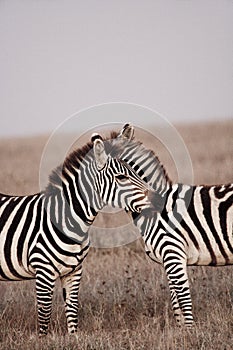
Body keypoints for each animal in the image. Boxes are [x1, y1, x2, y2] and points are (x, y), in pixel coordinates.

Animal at [0, 131, 155, 336]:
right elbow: (44, 314)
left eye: (136, 172)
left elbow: (72, 310)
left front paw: (74, 338)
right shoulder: (43, 271)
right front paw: (42, 339)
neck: (68, 219)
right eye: (121, 177)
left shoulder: (74, 270)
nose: (157, 199)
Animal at [111, 123, 233, 328]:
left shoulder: (173, 253)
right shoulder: (169, 260)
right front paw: (181, 330)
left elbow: (183, 298)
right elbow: (176, 302)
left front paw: (190, 332)